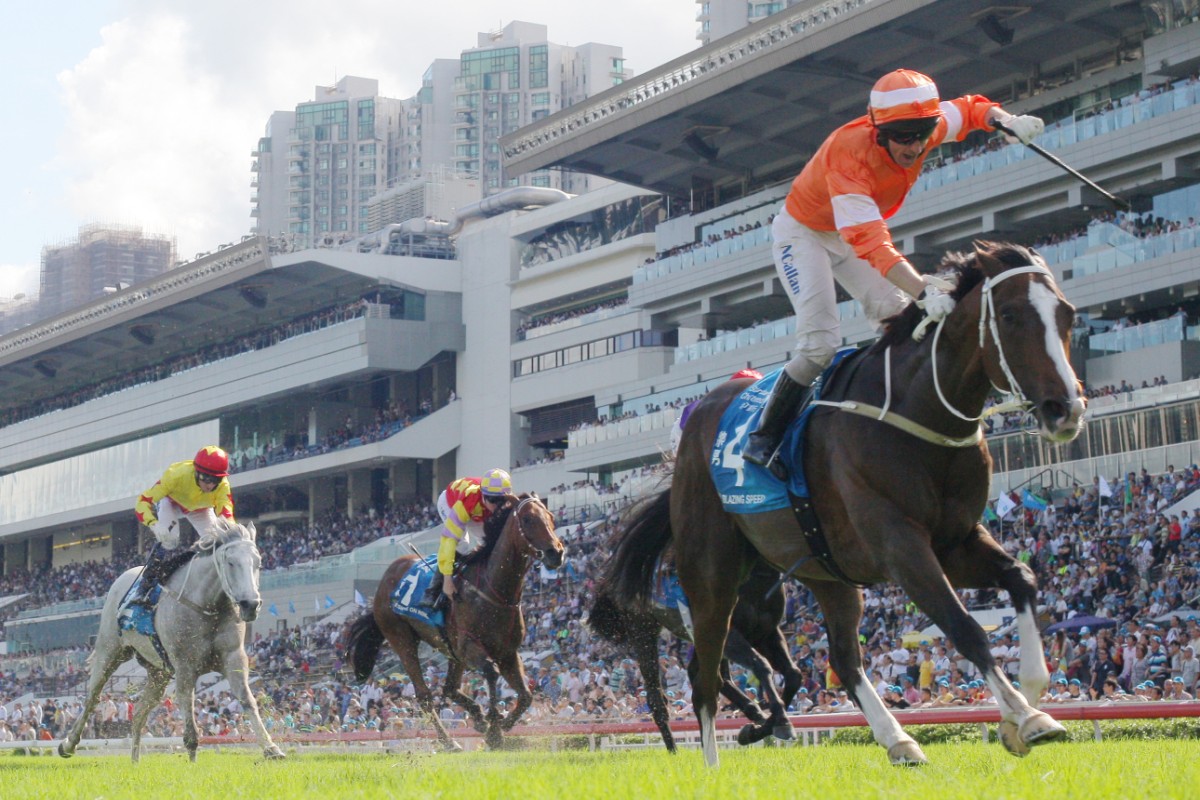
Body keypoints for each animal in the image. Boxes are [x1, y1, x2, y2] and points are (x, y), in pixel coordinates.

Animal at [60, 520, 285, 762]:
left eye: (258, 563)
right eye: (231, 562)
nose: (250, 605)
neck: (206, 605)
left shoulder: (233, 656)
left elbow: (246, 699)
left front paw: (272, 748)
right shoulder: (185, 666)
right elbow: (188, 708)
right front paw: (192, 759)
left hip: (158, 672)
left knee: (139, 712)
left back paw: (135, 760)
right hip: (110, 650)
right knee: (92, 697)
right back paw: (68, 745)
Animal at [350, 494, 564, 753]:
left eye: (550, 517)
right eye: (528, 519)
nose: (556, 553)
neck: (493, 590)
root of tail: (385, 579)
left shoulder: (507, 652)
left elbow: (526, 696)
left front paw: (501, 725)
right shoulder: (470, 646)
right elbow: (491, 673)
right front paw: (495, 731)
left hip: (451, 650)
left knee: (449, 687)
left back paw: (477, 718)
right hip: (401, 637)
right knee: (425, 695)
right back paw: (449, 741)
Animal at [609, 241, 1089, 767]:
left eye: (1066, 314)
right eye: (1009, 315)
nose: (1066, 409)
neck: (917, 411)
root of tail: (695, 419)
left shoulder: (955, 541)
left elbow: (1021, 579)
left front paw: (1028, 701)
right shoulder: (900, 544)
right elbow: (963, 626)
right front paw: (1026, 716)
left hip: (825, 572)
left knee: (841, 656)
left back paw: (896, 739)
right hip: (710, 576)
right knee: (705, 677)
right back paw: (717, 763)